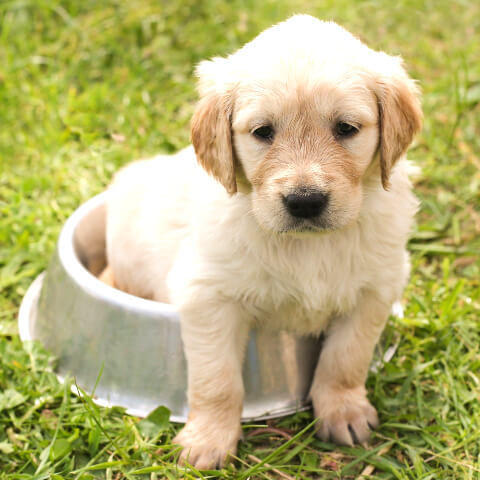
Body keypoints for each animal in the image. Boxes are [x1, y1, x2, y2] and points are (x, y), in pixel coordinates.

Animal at [104, 14, 420, 468]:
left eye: (346, 128)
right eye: (262, 132)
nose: (305, 201)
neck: (309, 246)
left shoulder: (375, 289)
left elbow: (346, 359)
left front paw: (343, 411)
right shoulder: (207, 295)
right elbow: (217, 379)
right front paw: (207, 442)